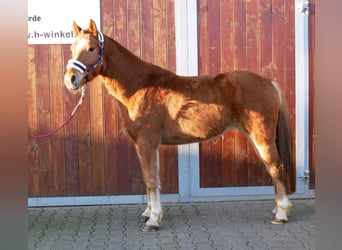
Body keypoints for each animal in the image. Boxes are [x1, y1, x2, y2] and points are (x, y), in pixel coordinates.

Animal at [65, 20, 296, 232]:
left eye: (91, 48)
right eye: (72, 48)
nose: (71, 79)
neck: (139, 86)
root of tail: (269, 83)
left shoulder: (147, 142)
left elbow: (151, 179)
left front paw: (153, 220)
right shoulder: (142, 144)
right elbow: (148, 179)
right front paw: (148, 213)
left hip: (261, 137)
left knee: (276, 167)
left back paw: (281, 214)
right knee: (271, 168)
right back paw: (277, 209)